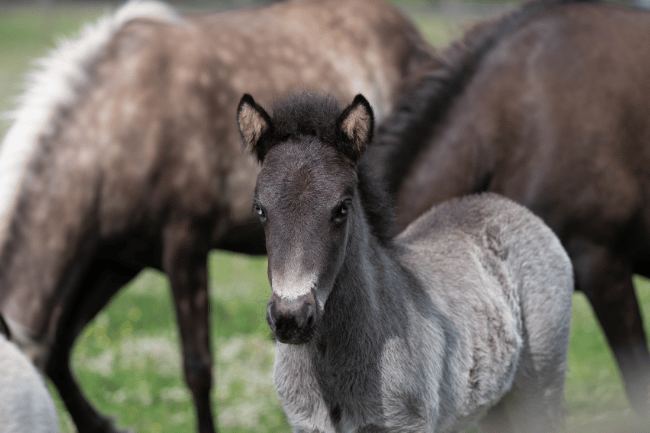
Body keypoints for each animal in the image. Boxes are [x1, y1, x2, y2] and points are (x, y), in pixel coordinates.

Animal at [237, 90, 574, 432]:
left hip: (541, 389)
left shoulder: (409, 423)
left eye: (342, 208)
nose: (290, 318)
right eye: (260, 209)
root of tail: (508, 206)